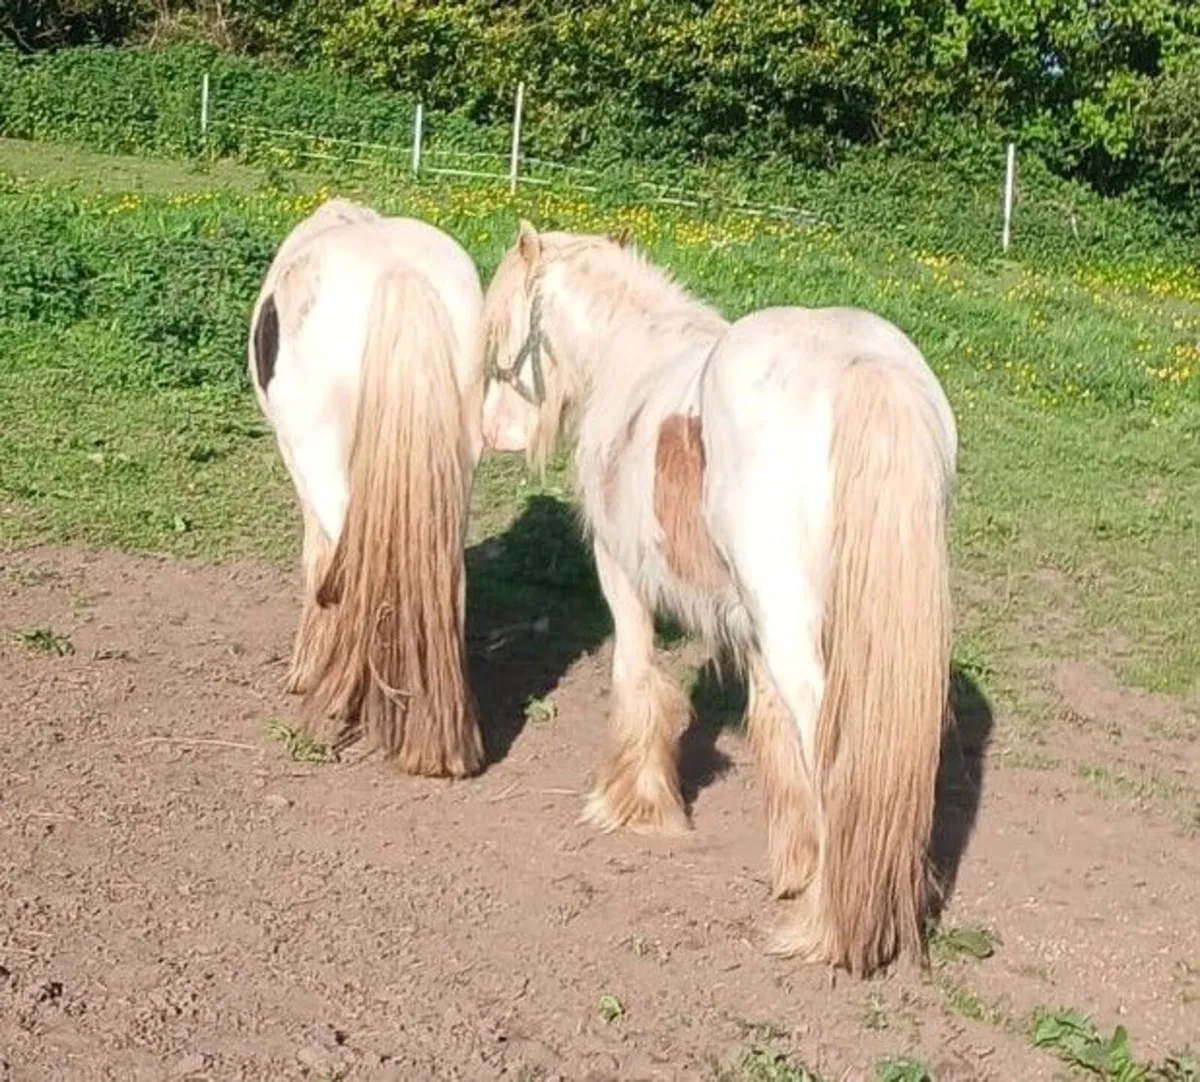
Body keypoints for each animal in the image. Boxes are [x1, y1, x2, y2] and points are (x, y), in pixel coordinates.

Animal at [479, 222, 957, 976]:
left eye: (501, 324)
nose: (493, 432)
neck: (630, 358)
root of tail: (862, 369)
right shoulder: (756, 626)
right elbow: (773, 735)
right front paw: (794, 865)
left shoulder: (620, 569)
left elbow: (636, 676)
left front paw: (632, 806)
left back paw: (827, 928)